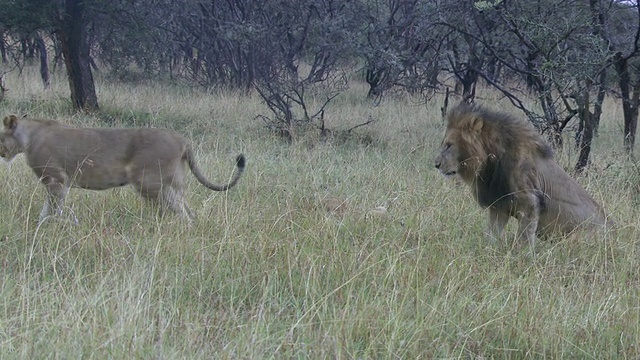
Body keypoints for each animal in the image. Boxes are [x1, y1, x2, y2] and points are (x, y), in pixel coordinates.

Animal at [0, 114, 246, 225]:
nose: (0, 153)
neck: (29, 136)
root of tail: (182, 139)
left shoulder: (56, 180)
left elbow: (52, 209)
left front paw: (51, 227)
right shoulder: (56, 183)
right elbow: (47, 210)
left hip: (150, 184)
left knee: (181, 214)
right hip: (174, 185)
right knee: (188, 211)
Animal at [436, 101, 608, 248]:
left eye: (449, 145)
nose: (436, 164)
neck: (491, 161)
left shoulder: (530, 203)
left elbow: (524, 238)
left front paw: (524, 257)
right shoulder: (499, 205)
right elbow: (492, 233)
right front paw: (488, 251)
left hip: (574, 238)